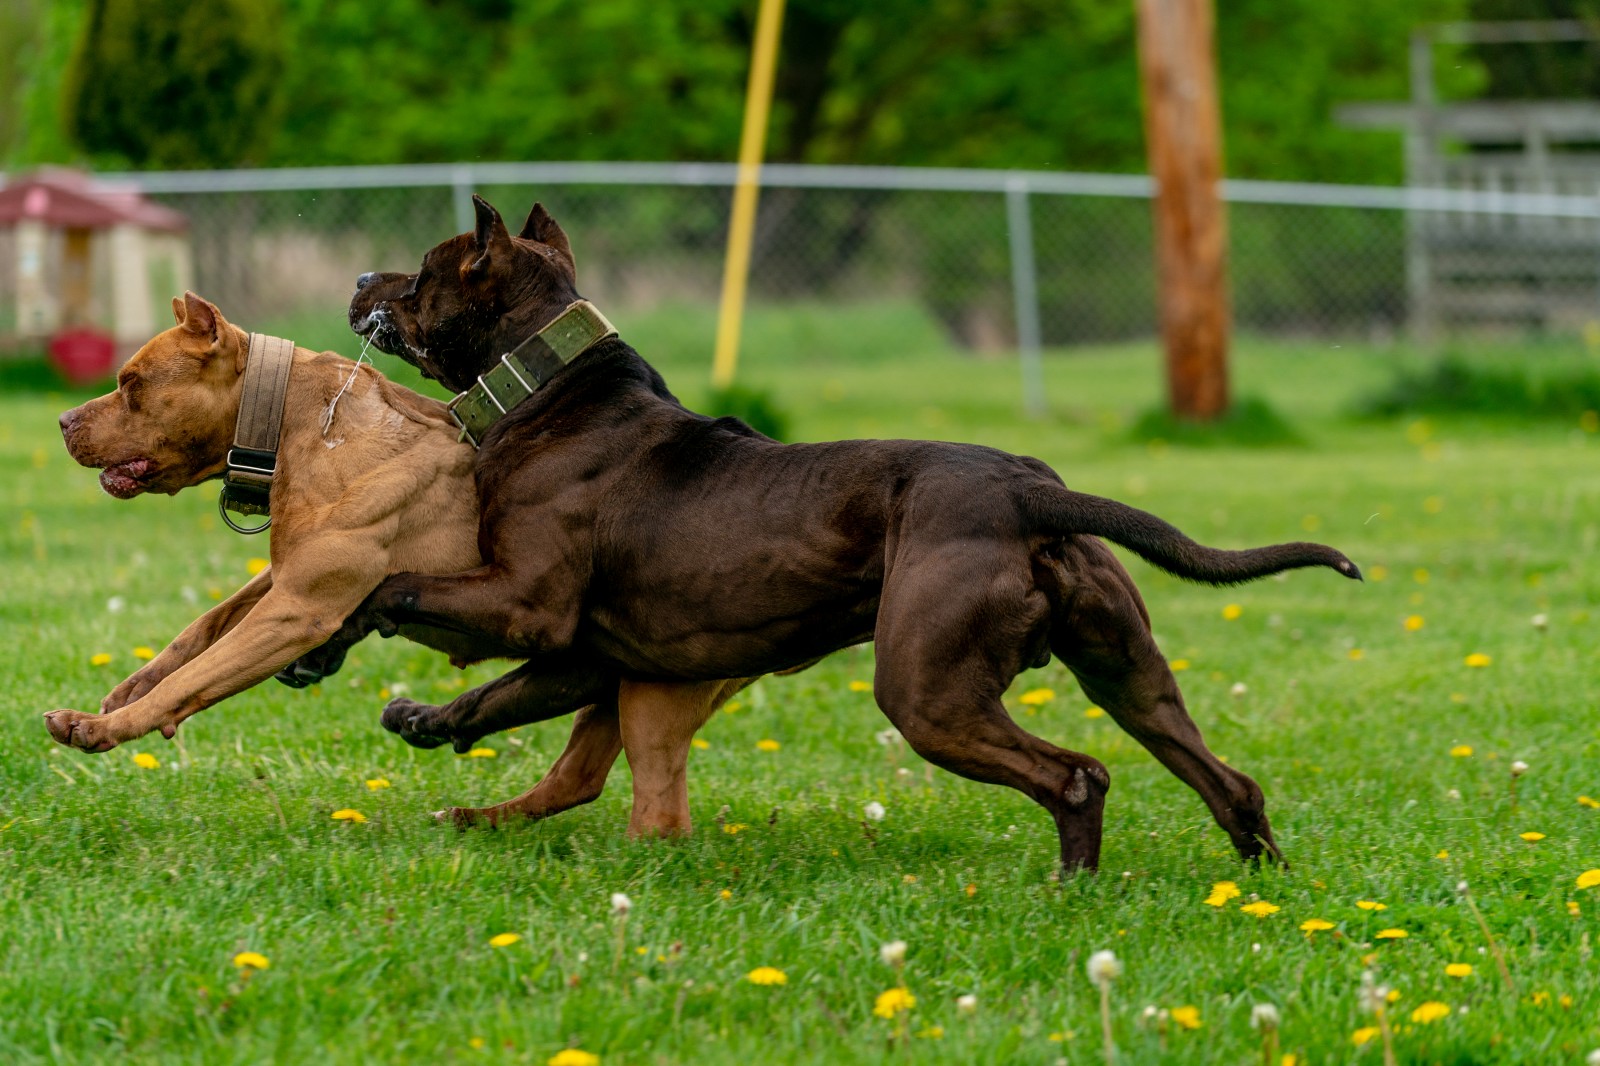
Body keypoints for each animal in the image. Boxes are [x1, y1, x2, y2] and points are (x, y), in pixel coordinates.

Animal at [305, 199, 1356, 870]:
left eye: (424, 274)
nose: (354, 274)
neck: (556, 390)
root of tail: (1030, 493)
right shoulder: (583, 657)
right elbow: (502, 706)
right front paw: (429, 724)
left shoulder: (528, 607)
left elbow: (391, 588)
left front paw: (326, 647)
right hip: (1126, 671)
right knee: (1227, 780)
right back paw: (1261, 885)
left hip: (929, 692)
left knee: (1076, 776)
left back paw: (1073, 886)